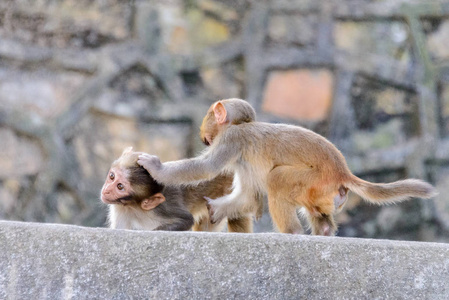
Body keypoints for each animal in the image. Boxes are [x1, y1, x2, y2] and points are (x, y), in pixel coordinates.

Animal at [100, 147, 252, 232]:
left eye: (120, 187)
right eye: (112, 176)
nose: (106, 190)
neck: (134, 207)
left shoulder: (162, 209)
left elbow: (186, 220)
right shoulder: (120, 210)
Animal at [137, 98, 438, 237]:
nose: (203, 134)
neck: (242, 125)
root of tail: (342, 171)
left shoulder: (233, 141)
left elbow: (207, 166)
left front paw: (155, 166)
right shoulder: (241, 159)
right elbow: (248, 196)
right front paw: (217, 210)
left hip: (315, 179)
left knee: (278, 178)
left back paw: (291, 234)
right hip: (324, 193)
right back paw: (323, 232)